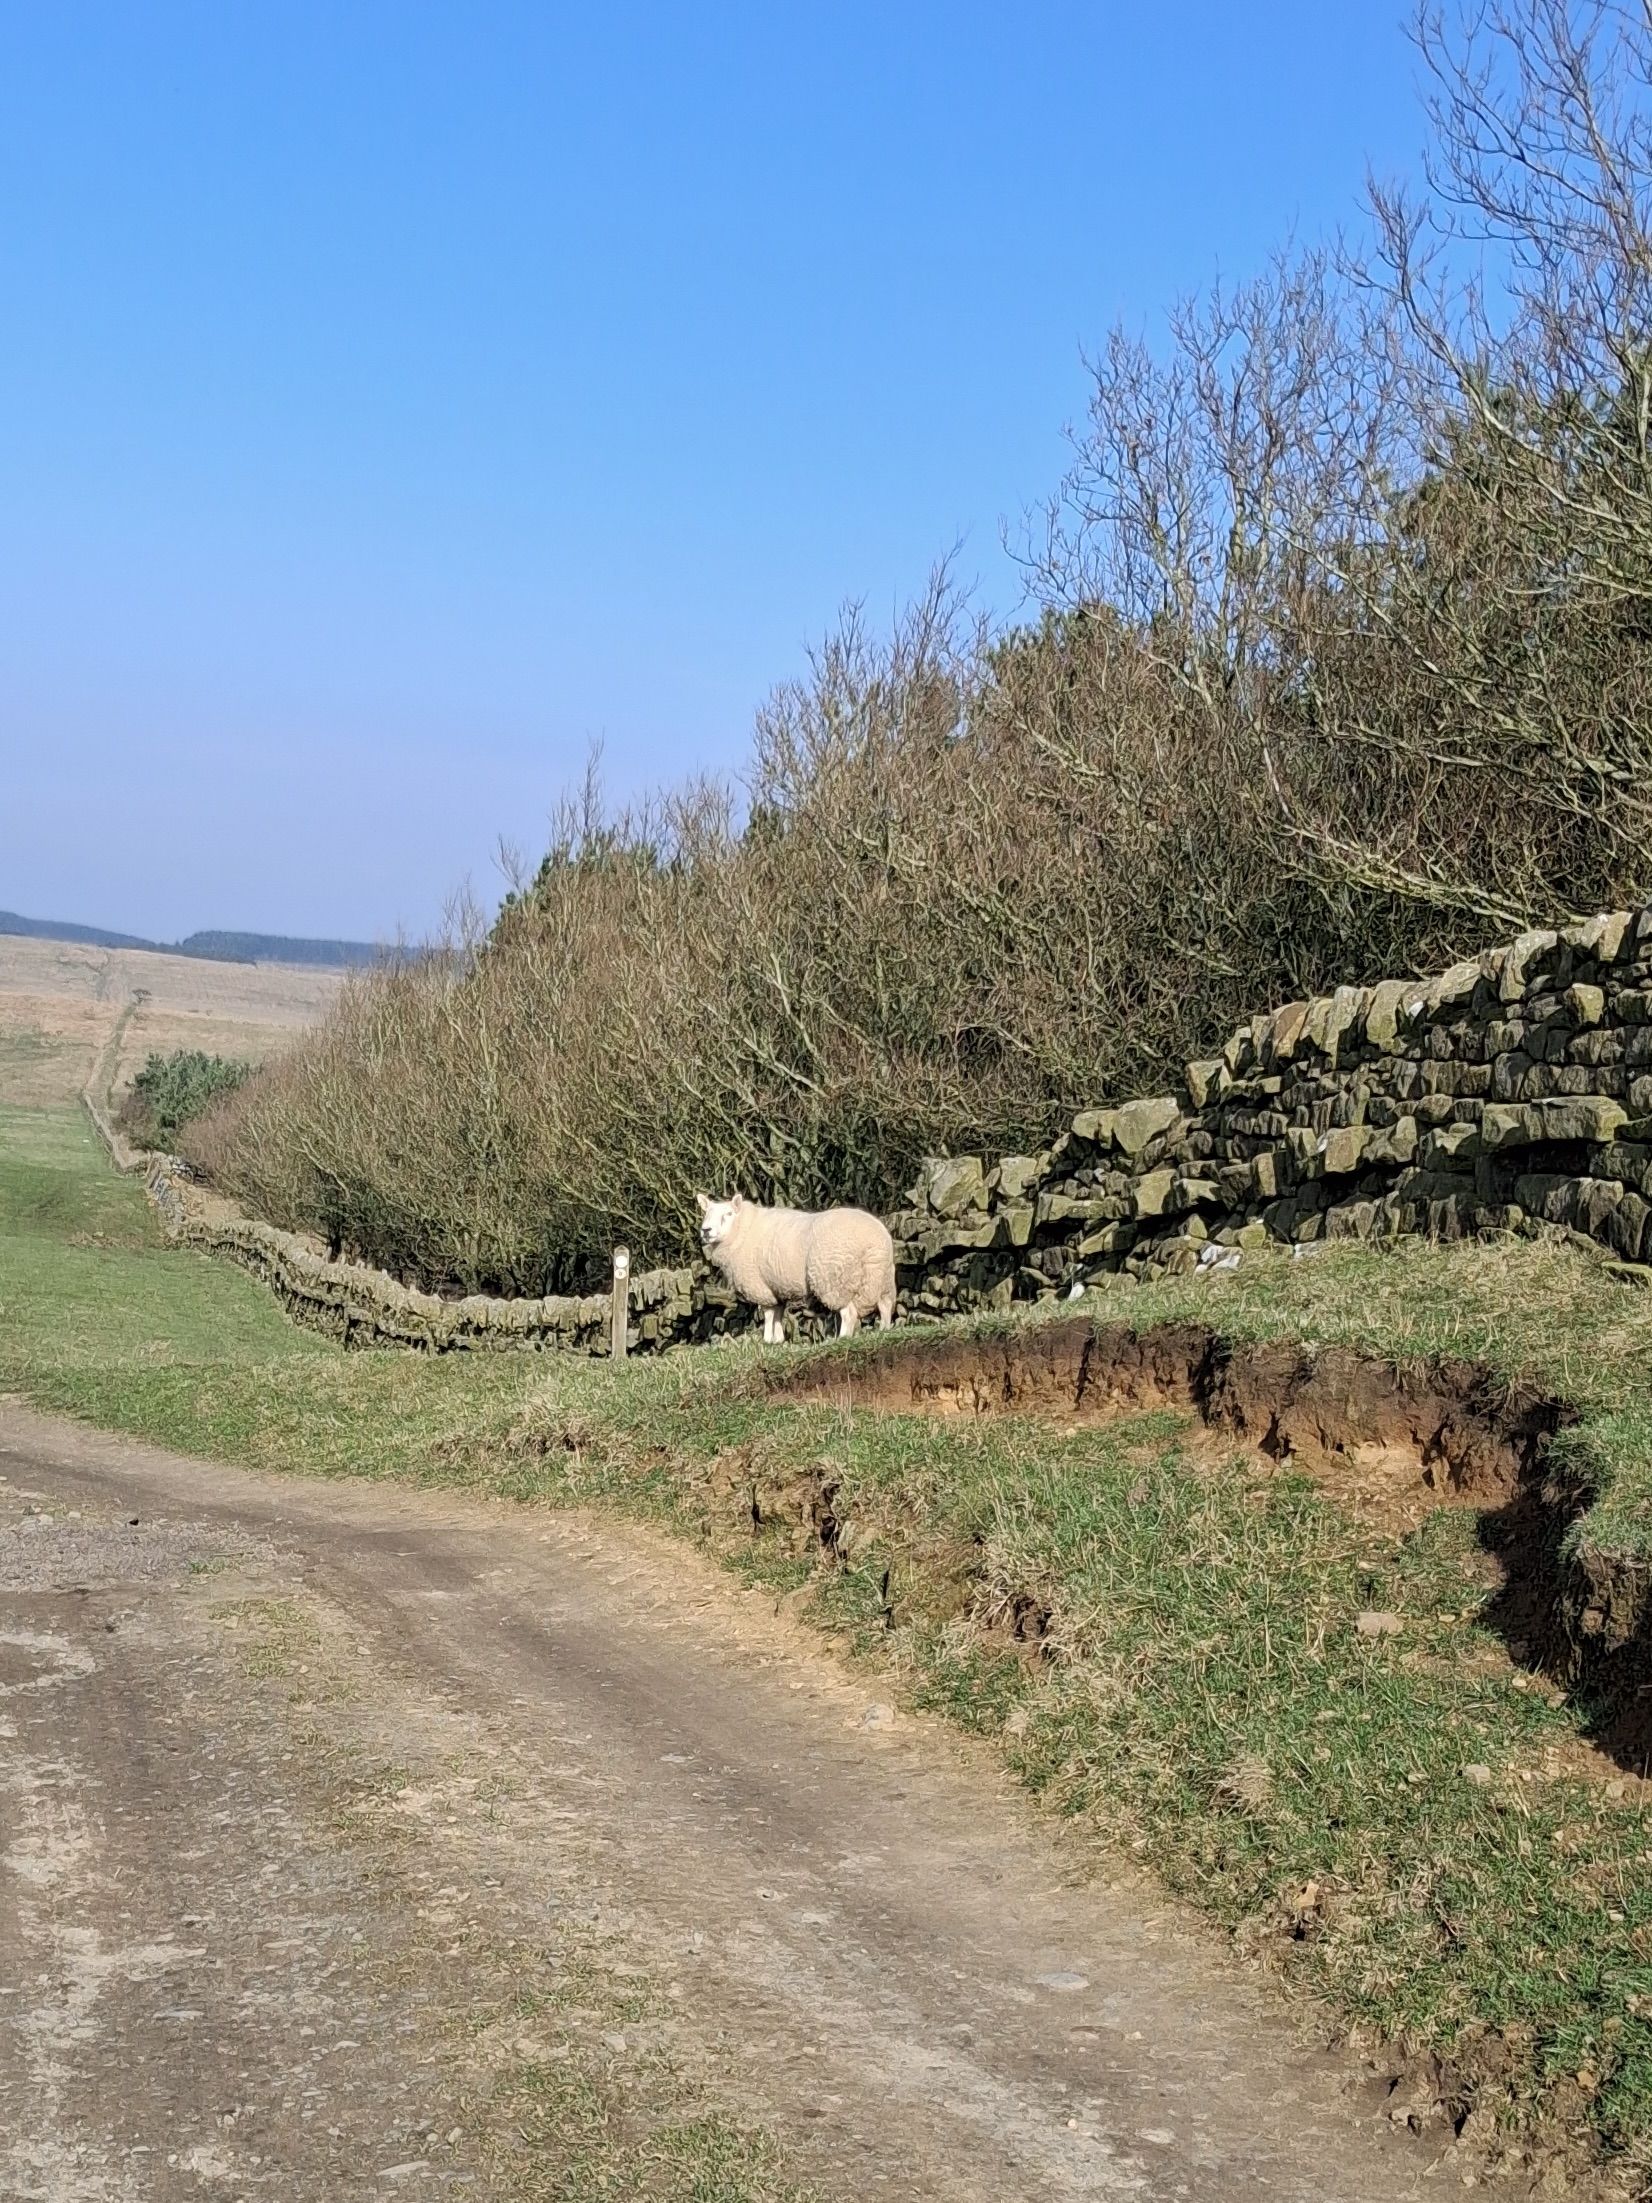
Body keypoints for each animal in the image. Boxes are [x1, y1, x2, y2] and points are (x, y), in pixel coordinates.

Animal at [695, 1192, 897, 1342]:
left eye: (728, 1214)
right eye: (706, 1213)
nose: (706, 1230)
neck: (742, 1231)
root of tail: (875, 1240)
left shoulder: (761, 1287)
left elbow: (768, 1314)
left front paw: (767, 1340)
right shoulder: (776, 1287)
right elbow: (778, 1313)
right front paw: (777, 1340)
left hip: (835, 1280)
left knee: (849, 1313)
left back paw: (843, 1338)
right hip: (881, 1277)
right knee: (886, 1305)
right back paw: (884, 1331)